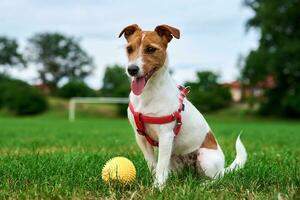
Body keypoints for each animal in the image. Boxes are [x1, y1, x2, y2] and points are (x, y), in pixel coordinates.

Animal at [118, 24, 247, 188]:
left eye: (151, 49)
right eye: (129, 49)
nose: (132, 69)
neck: (148, 93)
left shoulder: (166, 136)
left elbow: (160, 166)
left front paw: (158, 187)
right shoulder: (140, 137)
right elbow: (153, 164)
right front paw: (154, 182)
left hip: (205, 157)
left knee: (217, 179)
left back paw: (204, 185)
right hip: (174, 159)